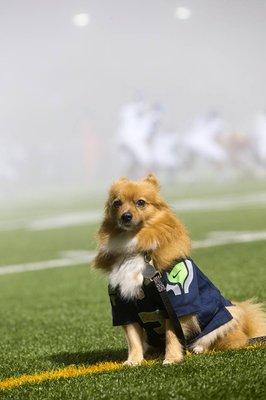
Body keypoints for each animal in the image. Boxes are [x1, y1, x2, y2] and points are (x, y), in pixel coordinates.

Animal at [93, 173, 266, 364]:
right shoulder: (122, 305)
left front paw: (172, 358)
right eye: (117, 203)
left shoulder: (175, 302)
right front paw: (133, 361)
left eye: (141, 202)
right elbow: (133, 338)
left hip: (230, 313)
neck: (137, 248)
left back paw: (197, 348)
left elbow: (172, 334)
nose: (126, 216)